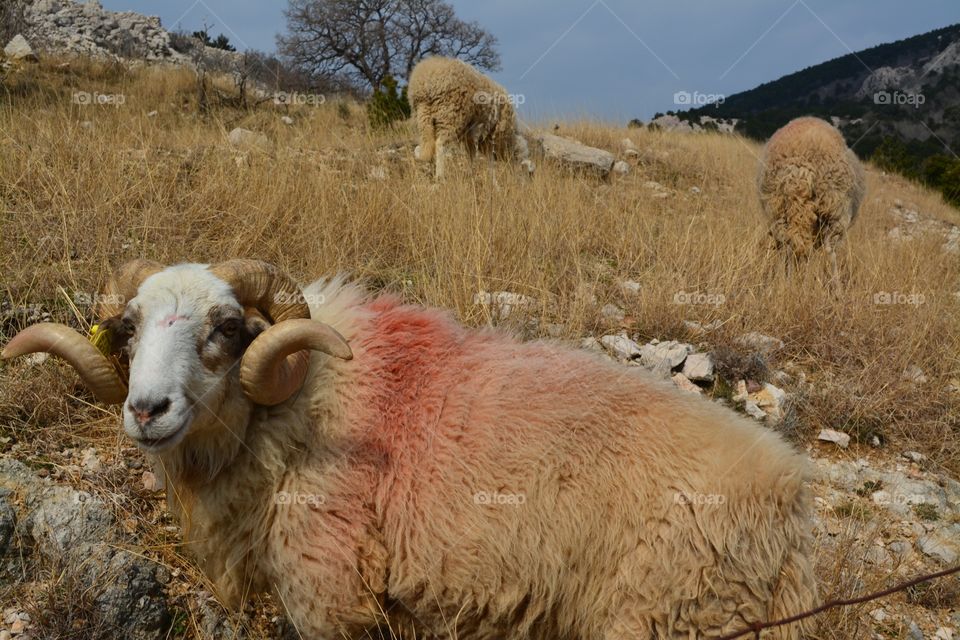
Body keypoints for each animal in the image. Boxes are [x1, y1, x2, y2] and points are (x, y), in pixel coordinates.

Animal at [3, 259, 818, 639]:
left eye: (228, 328)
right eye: (130, 327)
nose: (146, 410)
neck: (302, 400)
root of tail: (790, 503)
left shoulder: (327, 590)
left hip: (672, 616)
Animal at [758, 116, 865, 285]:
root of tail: (801, 170)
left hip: (778, 209)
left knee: (789, 243)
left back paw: (786, 281)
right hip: (836, 213)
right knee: (829, 249)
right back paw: (835, 287)